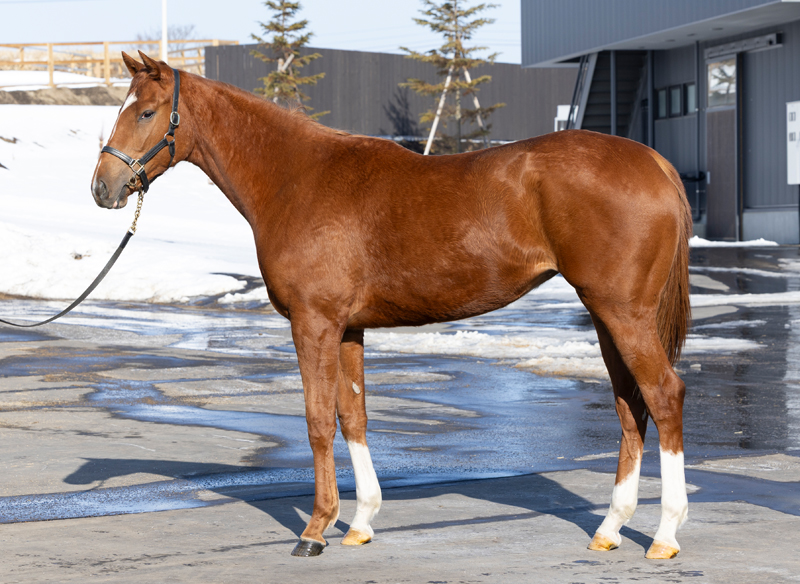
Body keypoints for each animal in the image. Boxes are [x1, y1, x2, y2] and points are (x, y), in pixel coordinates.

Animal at [91, 51, 692, 559]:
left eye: (146, 111)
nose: (102, 188)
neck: (296, 178)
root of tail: (655, 163)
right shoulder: (348, 328)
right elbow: (353, 416)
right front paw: (359, 522)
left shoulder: (314, 323)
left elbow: (317, 419)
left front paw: (315, 530)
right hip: (606, 316)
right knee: (630, 405)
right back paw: (610, 529)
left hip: (623, 313)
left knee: (663, 396)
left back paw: (665, 535)